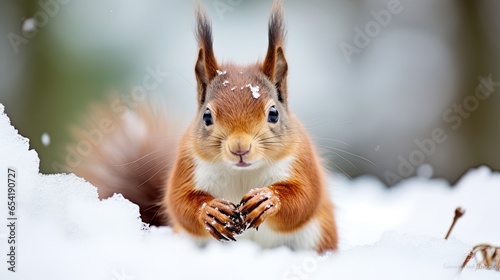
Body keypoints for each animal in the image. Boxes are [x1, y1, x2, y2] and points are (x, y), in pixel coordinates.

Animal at [68, 0, 338, 253]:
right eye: (207, 116)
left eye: (273, 114)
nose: (239, 148)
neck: (241, 173)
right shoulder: (186, 163)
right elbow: (178, 201)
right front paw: (210, 210)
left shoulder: (301, 160)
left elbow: (305, 197)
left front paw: (267, 198)